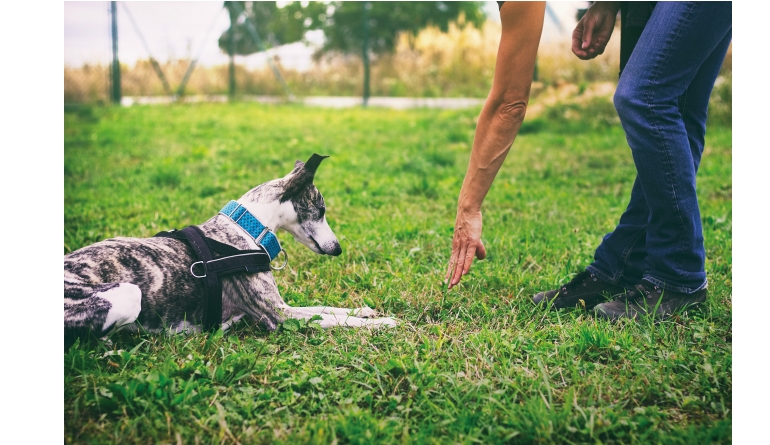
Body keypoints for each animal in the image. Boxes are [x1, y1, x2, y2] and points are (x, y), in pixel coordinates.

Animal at [65, 153, 396, 344]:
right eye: (322, 209)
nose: (338, 249)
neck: (246, 228)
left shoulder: (284, 306)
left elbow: (325, 307)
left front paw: (365, 311)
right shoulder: (278, 316)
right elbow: (335, 320)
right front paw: (382, 324)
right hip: (127, 294)